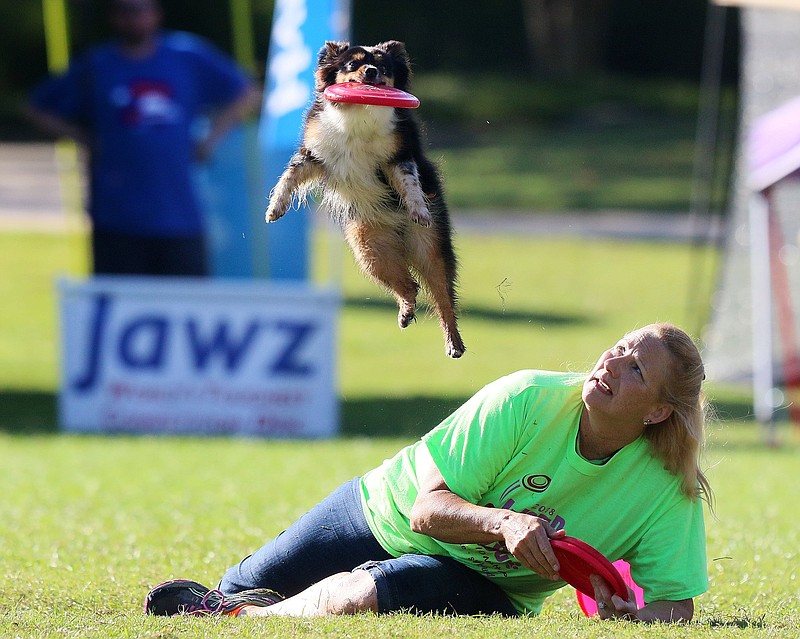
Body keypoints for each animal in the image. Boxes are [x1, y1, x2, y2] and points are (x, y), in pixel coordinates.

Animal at [264, 40, 462, 360]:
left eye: (384, 67)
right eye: (352, 64)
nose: (370, 71)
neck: (360, 113)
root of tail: (397, 233)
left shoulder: (398, 156)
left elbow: (410, 181)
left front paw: (418, 208)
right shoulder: (314, 153)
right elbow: (289, 176)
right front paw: (274, 209)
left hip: (427, 246)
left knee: (442, 295)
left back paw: (454, 344)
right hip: (369, 249)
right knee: (408, 285)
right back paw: (405, 311)